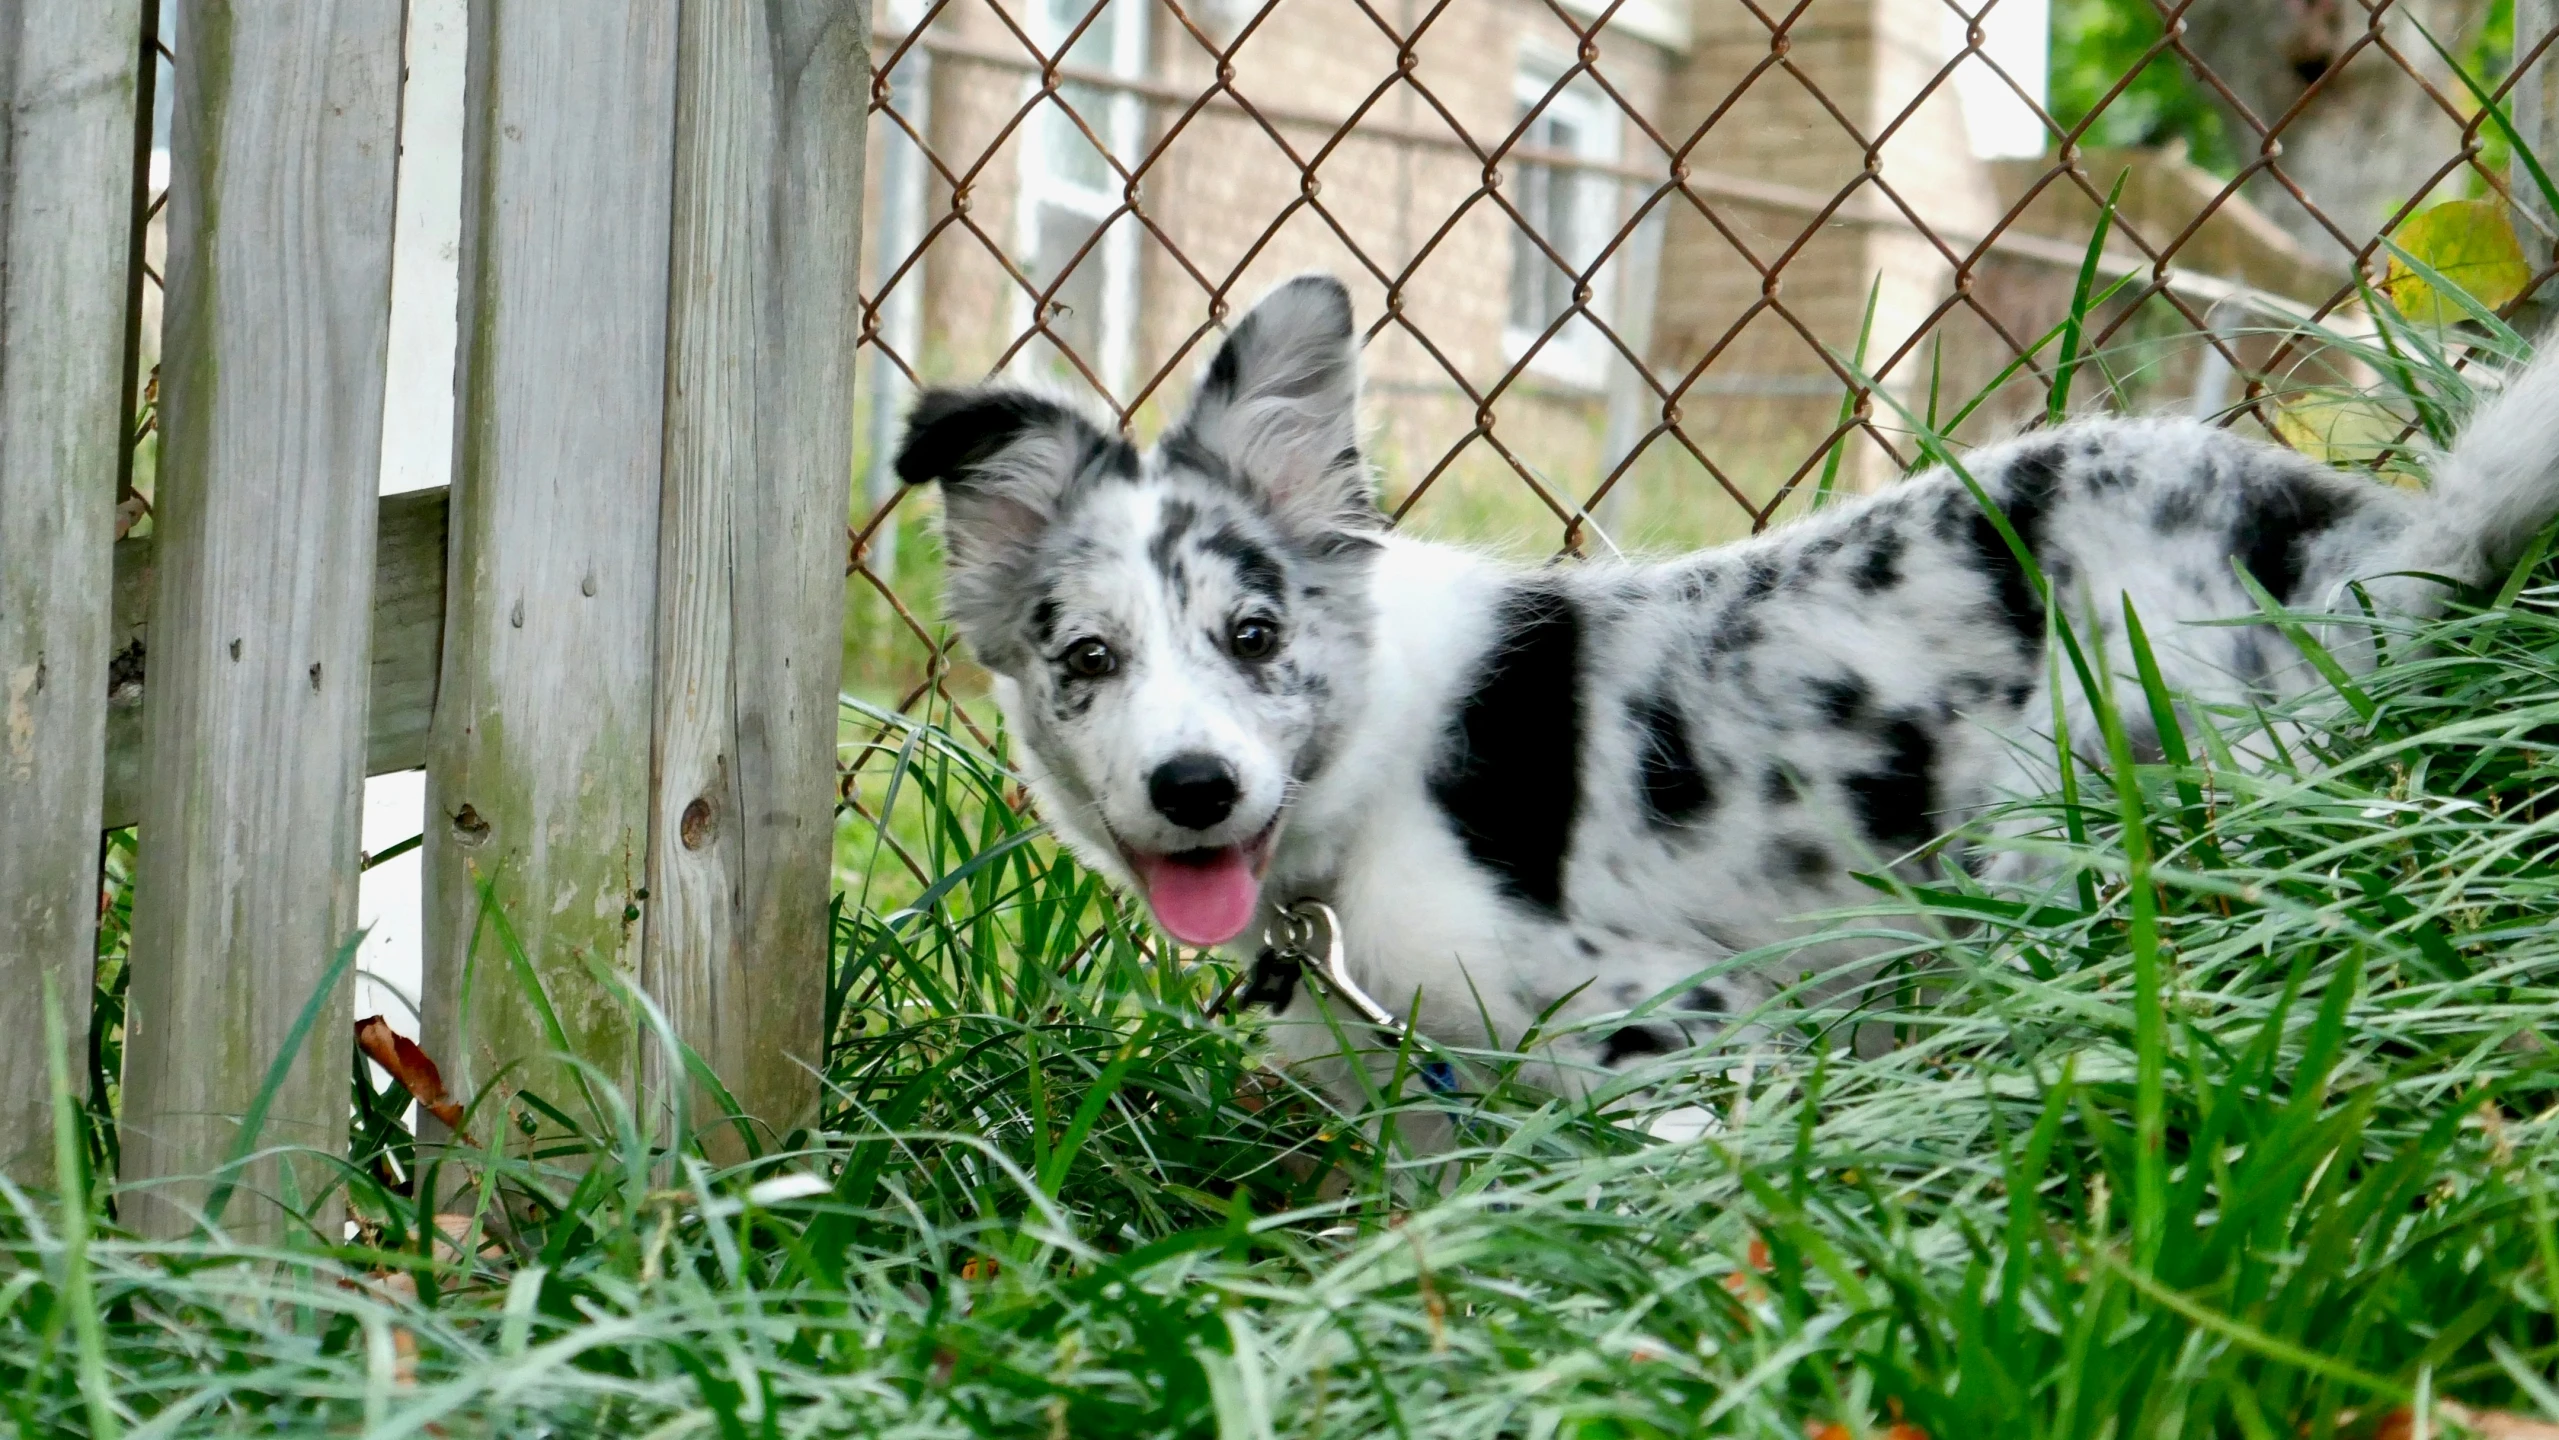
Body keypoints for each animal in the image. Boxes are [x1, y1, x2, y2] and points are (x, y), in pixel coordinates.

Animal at [895, 276, 2559, 1099]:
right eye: (1087, 660)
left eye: (1252, 635)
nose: (1194, 791)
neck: (1361, 788)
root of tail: (2379, 548)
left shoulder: (1676, 1031)